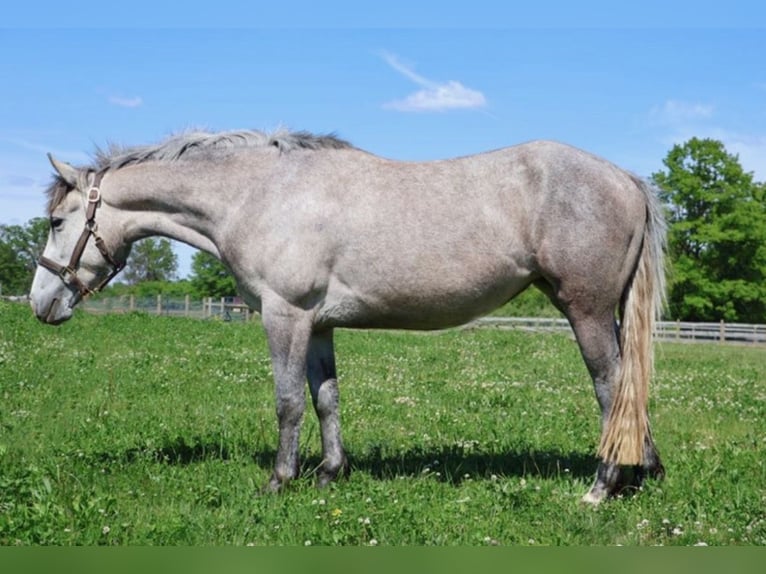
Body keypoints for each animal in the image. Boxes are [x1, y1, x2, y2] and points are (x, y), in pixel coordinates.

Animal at [29, 129, 667, 504]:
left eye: (58, 221)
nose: (40, 303)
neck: (259, 195)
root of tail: (625, 178)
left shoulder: (284, 316)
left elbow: (288, 401)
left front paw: (279, 481)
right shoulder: (318, 324)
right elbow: (326, 398)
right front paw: (330, 473)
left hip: (584, 310)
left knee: (611, 388)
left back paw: (602, 486)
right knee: (629, 388)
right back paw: (642, 473)